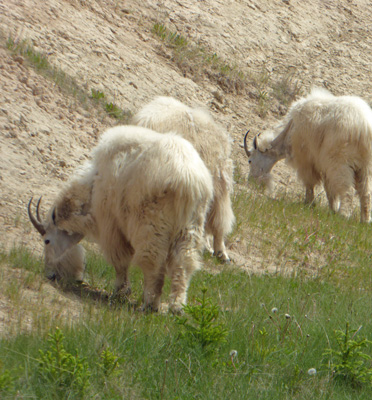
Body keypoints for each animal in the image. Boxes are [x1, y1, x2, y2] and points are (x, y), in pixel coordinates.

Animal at [244, 87, 372, 223]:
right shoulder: (323, 164)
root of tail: (364, 128)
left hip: (341, 161)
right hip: (366, 166)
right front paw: (332, 209)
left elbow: (309, 183)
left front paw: (308, 203)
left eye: (250, 160)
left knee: (347, 190)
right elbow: (329, 189)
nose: (250, 181)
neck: (289, 131)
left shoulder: (306, 160)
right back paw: (365, 220)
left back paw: (344, 215)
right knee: (366, 192)